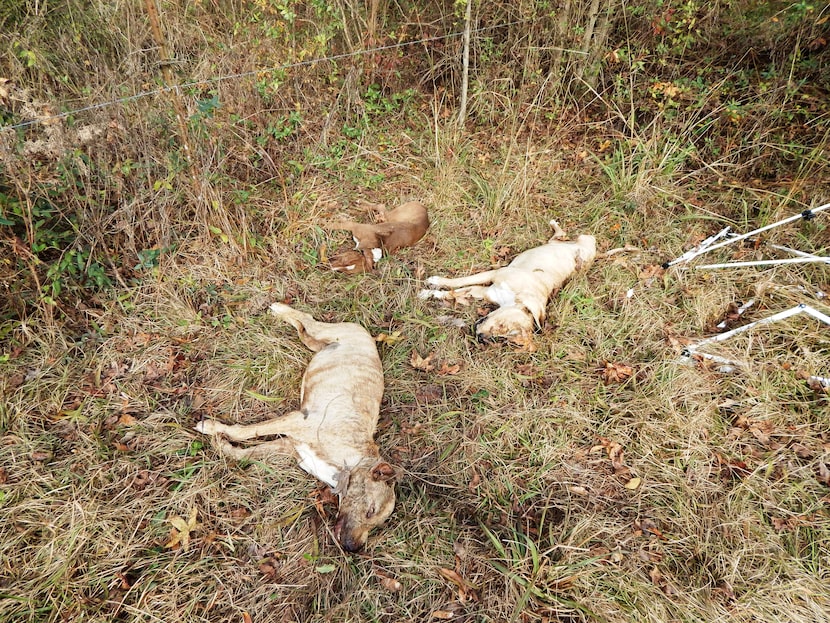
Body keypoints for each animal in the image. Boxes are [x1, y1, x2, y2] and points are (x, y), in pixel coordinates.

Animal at [198, 302, 400, 552]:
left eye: (376, 525)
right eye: (370, 510)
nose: (354, 548)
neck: (348, 463)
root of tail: (368, 337)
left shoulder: (289, 445)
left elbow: (248, 453)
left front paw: (222, 444)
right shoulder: (296, 421)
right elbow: (249, 431)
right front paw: (212, 427)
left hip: (318, 344)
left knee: (304, 330)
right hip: (328, 331)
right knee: (308, 318)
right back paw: (281, 309)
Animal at [422, 221, 600, 348]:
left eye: (504, 338)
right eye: (502, 325)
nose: (481, 338)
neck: (514, 298)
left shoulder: (484, 292)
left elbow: (454, 293)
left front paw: (433, 293)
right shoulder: (493, 274)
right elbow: (459, 282)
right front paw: (434, 284)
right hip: (576, 241)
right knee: (562, 235)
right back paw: (554, 224)